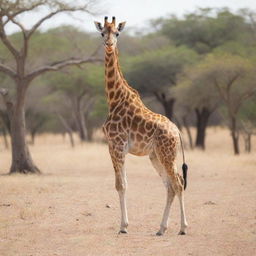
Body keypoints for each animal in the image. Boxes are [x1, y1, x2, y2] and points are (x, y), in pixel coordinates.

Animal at [94, 16, 188, 236]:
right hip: (156, 156)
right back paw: (161, 228)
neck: (114, 99)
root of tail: (178, 132)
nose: (109, 44)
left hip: (167, 154)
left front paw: (123, 226)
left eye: (117, 33)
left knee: (178, 183)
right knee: (169, 186)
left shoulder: (116, 145)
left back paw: (182, 228)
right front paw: (124, 225)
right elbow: (122, 184)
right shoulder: (115, 147)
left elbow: (121, 185)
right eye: (102, 33)